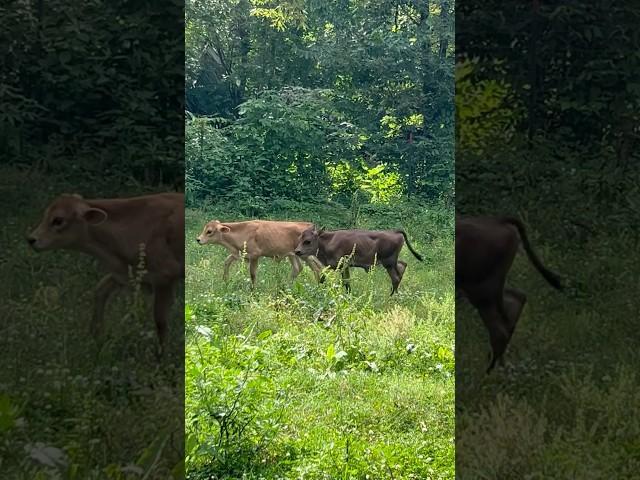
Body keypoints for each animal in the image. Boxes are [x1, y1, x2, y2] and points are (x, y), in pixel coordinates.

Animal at [28, 191, 184, 352]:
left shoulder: (164, 277)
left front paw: (162, 354)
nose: (31, 239)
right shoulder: (122, 273)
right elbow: (100, 290)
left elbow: (160, 320)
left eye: (58, 220)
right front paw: (95, 334)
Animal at [292, 228, 422, 294]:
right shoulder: (337, 266)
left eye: (308, 241)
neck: (327, 241)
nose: (297, 251)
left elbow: (345, 282)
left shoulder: (342, 265)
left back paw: (390, 295)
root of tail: (395, 232)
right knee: (402, 266)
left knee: (396, 277)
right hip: (392, 262)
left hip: (388, 263)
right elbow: (324, 278)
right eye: (299, 239)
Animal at [458, 216, 564, 374]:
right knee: (516, 299)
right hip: (490, 288)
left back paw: (489, 371)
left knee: (500, 327)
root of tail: (499, 222)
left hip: (480, 290)